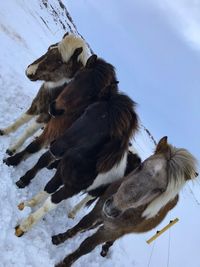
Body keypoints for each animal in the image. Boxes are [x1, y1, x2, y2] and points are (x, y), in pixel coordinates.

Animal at [50, 137, 198, 267]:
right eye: (141, 166)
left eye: (161, 190)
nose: (112, 208)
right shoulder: (98, 209)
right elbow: (82, 224)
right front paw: (60, 238)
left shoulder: (114, 231)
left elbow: (87, 247)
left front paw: (63, 263)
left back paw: (105, 248)